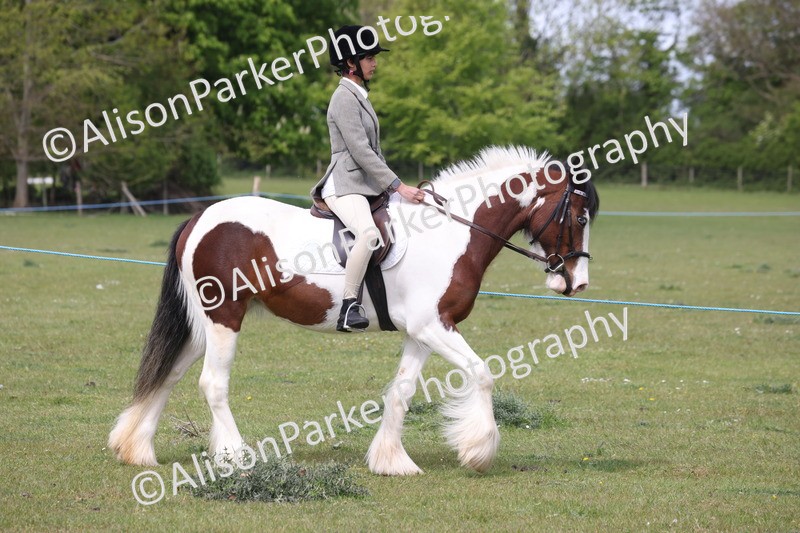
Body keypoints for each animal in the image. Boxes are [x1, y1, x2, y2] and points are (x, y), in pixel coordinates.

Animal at [109, 145, 599, 476]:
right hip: (224, 318)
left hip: (202, 325)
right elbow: (482, 373)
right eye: (579, 217)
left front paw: (391, 461)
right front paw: (478, 451)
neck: (451, 232)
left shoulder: (421, 333)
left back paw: (137, 450)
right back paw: (236, 457)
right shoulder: (434, 326)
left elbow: (401, 392)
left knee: (168, 373)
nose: (576, 282)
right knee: (212, 383)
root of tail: (200, 218)